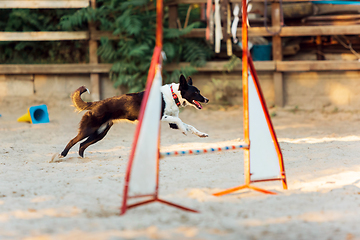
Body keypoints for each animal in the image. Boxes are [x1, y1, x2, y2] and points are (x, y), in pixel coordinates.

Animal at [51, 74, 208, 160]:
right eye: (196, 92)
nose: (206, 100)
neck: (172, 95)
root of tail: (96, 103)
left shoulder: (171, 123)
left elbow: (188, 124)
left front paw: (201, 134)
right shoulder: (161, 117)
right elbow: (179, 120)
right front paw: (184, 130)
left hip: (100, 133)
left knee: (82, 145)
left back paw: (83, 160)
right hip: (89, 129)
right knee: (73, 141)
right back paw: (61, 155)